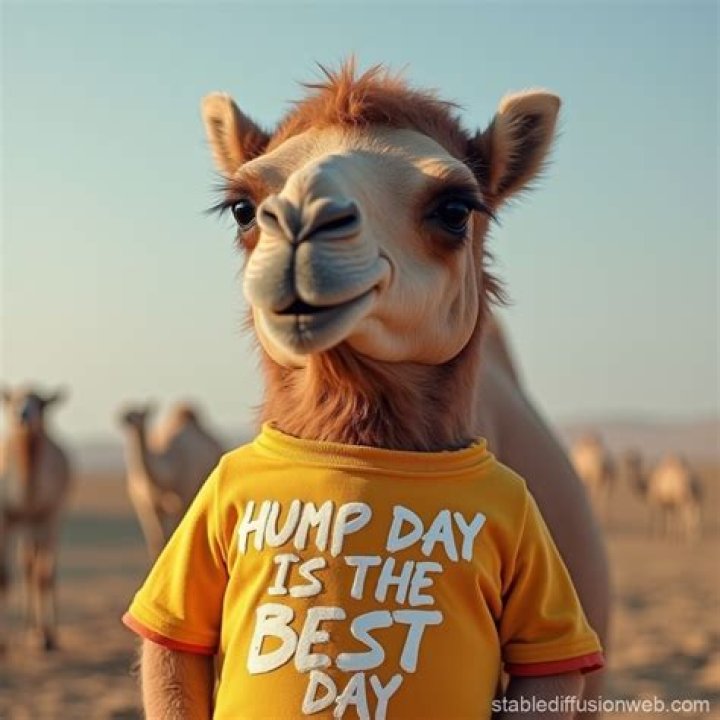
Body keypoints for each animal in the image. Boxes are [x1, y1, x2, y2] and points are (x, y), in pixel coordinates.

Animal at [0, 386, 72, 651]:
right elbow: (4, 576)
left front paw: (46, 637)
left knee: (41, 569)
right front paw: (2, 643)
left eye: (40, 404)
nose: (22, 415)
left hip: (47, 522)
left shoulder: (48, 516)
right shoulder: (7, 518)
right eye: (13, 401)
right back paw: (26, 627)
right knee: (26, 566)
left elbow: (44, 576)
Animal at [119, 402, 224, 559]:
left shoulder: (183, 499)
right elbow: (156, 539)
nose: (124, 419)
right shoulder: (147, 505)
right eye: (128, 413)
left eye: (143, 414)